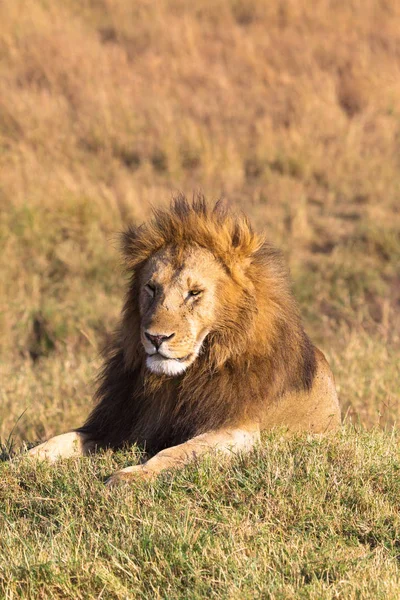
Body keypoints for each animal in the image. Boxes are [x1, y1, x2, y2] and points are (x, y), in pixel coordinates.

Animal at [28, 197, 340, 488]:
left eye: (194, 292)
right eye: (151, 288)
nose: (156, 338)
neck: (175, 383)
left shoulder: (239, 431)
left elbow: (175, 452)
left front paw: (130, 475)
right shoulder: (123, 424)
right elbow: (64, 438)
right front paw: (24, 459)